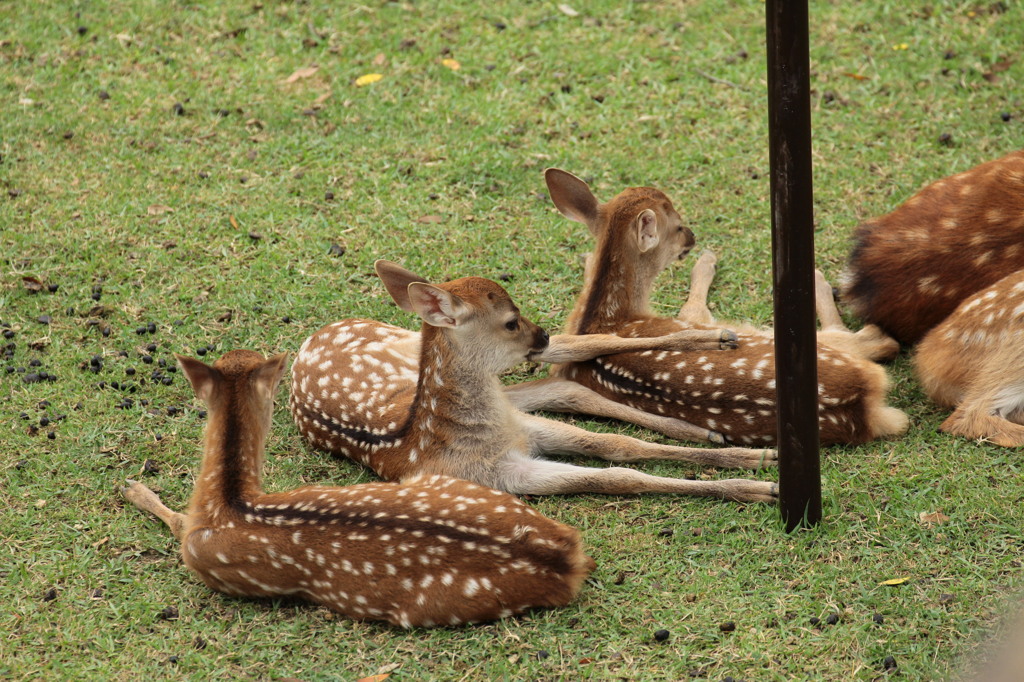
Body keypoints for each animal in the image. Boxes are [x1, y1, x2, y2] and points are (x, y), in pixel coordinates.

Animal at [288, 260, 774, 503]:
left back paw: (719, 342)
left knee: (583, 351)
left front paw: (755, 459)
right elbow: (619, 476)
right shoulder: (509, 476)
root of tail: (315, 335)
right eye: (509, 321)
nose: (539, 334)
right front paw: (759, 482)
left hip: (407, 344)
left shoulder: (526, 430)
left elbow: (617, 445)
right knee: (563, 381)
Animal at [540, 166, 909, 446]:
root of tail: (864, 402)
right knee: (876, 339)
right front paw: (707, 260)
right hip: (813, 344)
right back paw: (817, 277)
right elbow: (692, 307)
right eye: (676, 226)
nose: (692, 236)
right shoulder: (695, 319)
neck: (604, 317)